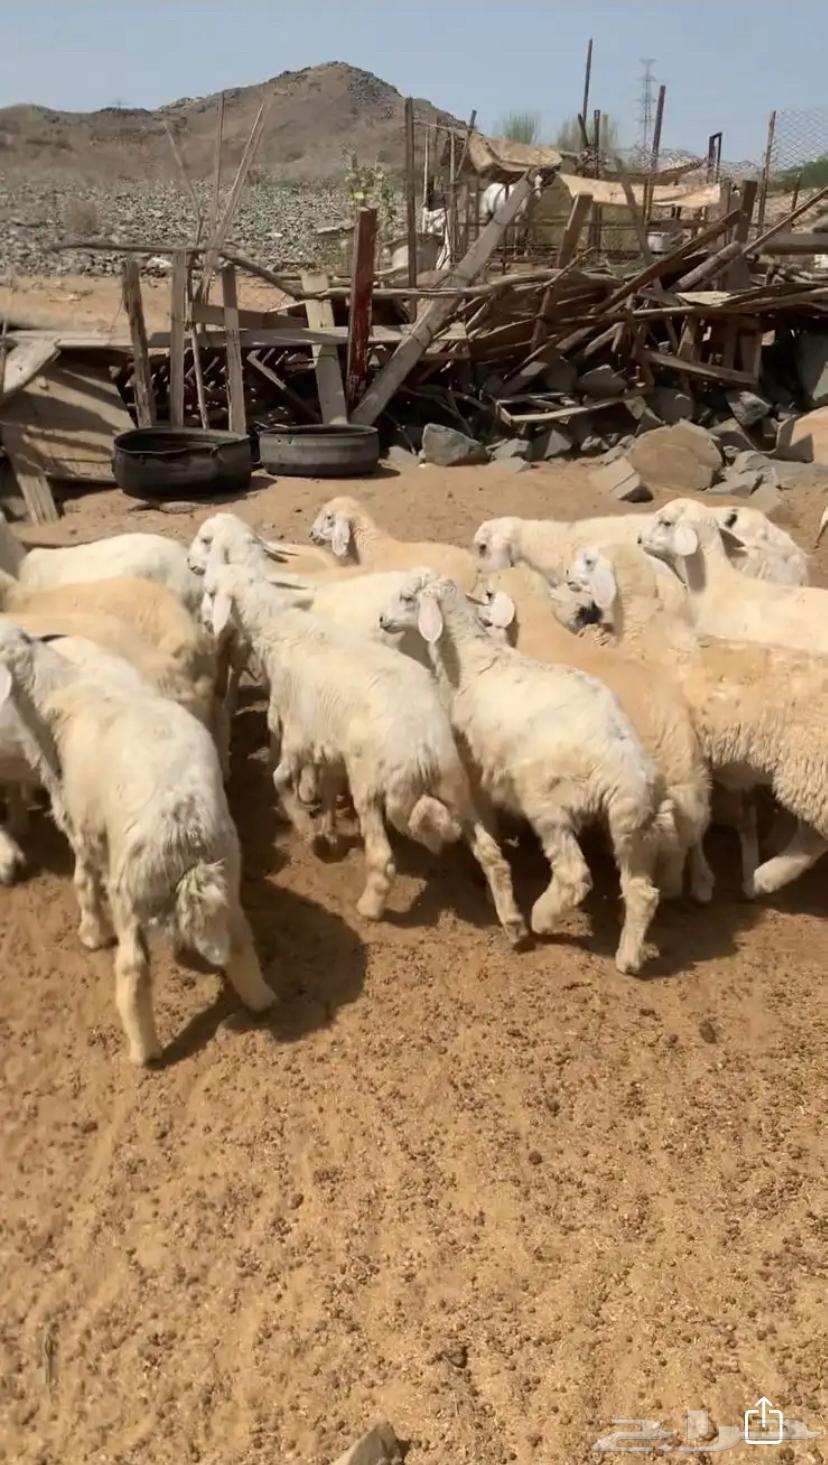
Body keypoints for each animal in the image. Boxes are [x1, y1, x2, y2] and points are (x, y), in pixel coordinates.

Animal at [0, 621, 276, 1064]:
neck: (58, 692)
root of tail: (184, 831)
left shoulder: (79, 821)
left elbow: (83, 879)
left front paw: (91, 933)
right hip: (227, 868)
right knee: (238, 938)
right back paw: (260, 999)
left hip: (130, 893)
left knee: (133, 972)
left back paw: (144, 1051)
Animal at [207, 564, 527, 944]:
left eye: (211, 593)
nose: (207, 624)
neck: (284, 632)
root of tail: (423, 749)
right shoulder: (331, 743)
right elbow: (328, 787)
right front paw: (328, 830)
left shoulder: (300, 733)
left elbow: (281, 779)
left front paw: (308, 831)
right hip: (455, 788)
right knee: (492, 854)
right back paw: (513, 923)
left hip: (371, 787)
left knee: (383, 858)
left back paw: (370, 908)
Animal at [378, 570, 672, 974]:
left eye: (408, 597)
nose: (381, 620)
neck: (470, 662)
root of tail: (622, 767)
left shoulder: (477, 771)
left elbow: (486, 826)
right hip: (632, 823)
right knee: (642, 892)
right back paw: (628, 958)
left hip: (549, 803)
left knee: (573, 877)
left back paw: (541, 919)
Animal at [562, 540, 828, 898]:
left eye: (589, 561)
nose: (566, 573)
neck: (646, 630)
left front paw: (699, 879)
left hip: (809, 775)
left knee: (813, 840)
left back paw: (762, 878)